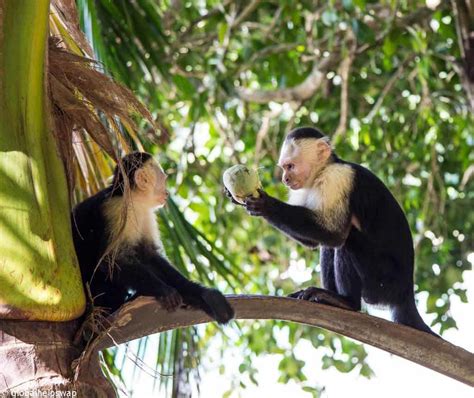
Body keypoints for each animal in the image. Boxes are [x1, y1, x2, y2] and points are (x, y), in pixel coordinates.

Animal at [73, 152, 234, 324]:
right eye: (163, 181)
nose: (167, 193)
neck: (134, 201)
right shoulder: (116, 210)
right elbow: (111, 260)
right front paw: (164, 291)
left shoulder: (147, 214)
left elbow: (149, 255)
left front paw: (201, 293)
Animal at [231, 126, 436, 334]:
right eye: (284, 168)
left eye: (290, 166)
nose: (285, 179)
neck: (323, 170)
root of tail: (407, 292)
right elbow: (314, 241)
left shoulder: (337, 178)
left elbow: (335, 234)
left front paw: (266, 205)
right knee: (329, 246)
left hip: (384, 283)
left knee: (347, 241)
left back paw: (347, 302)